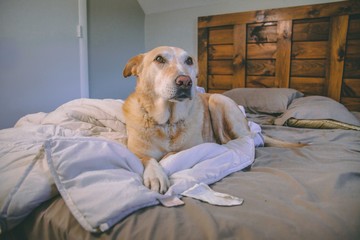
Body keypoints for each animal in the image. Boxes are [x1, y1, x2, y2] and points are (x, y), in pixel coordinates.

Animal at [124, 46, 300, 193]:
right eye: (159, 59)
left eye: (189, 60)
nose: (185, 81)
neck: (168, 122)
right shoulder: (135, 152)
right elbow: (147, 158)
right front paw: (155, 175)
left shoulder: (193, 147)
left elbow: (172, 154)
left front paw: (166, 160)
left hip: (218, 101)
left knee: (242, 141)